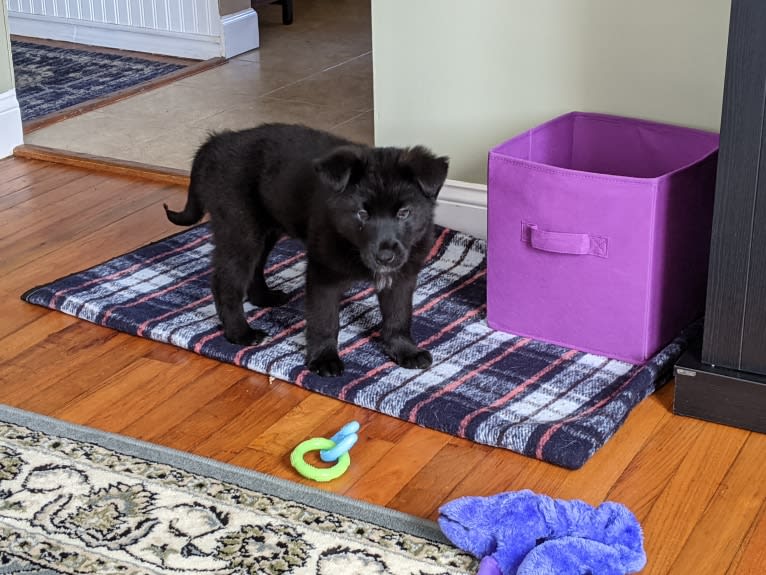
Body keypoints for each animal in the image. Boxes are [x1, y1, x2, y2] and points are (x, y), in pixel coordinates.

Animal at [164, 124, 450, 378]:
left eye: (404, 213)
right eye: (362, 213)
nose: (385, 257)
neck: (353, 246)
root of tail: (217, 142)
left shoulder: (402, 277)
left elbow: (399, 315)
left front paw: (404, 350)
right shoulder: (323, 276)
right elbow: (325, 320)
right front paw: (324, 359)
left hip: (266, 229)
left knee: (256, 267)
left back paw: (264, 298)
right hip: (240, 230)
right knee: (225, 283)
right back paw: (240, 333)